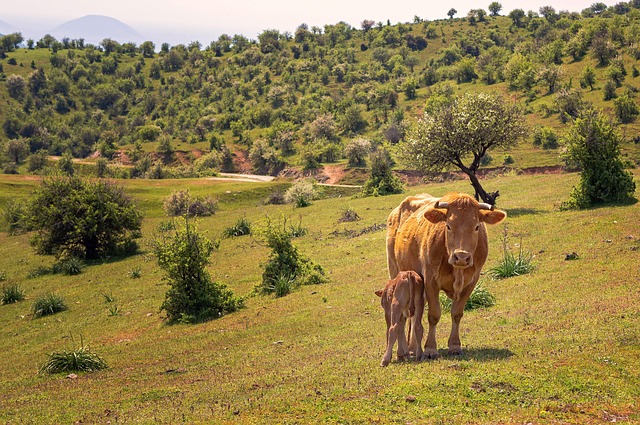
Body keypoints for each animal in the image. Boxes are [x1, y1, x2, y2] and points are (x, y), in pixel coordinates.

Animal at [386, 192, 506, 359]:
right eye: (448, 226)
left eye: (476, 227)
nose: (461, 257)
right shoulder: (430, 281)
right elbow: (434, 315)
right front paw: (430, 349)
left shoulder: (471, 282)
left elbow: (457, 313)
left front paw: (455, 345)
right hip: (395, 271)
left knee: (414, 314)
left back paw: (412, 347)